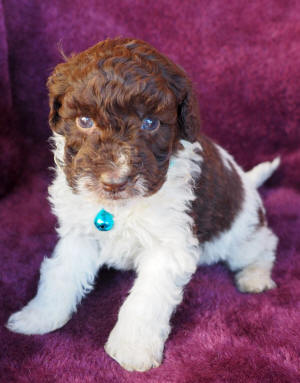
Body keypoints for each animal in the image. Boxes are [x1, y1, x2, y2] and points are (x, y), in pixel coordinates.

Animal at [6, 38, 278, 372]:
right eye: (84, 121)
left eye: (150, 123)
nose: (114, 181)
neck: (117, 208)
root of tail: (248, 184)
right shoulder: (79, 233)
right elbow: (61, 274)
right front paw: (38, 317)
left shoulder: (168, 246)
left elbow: (145, 301)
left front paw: (131, 349)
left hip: (241, 233)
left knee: (264, 244)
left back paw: (255, 277)